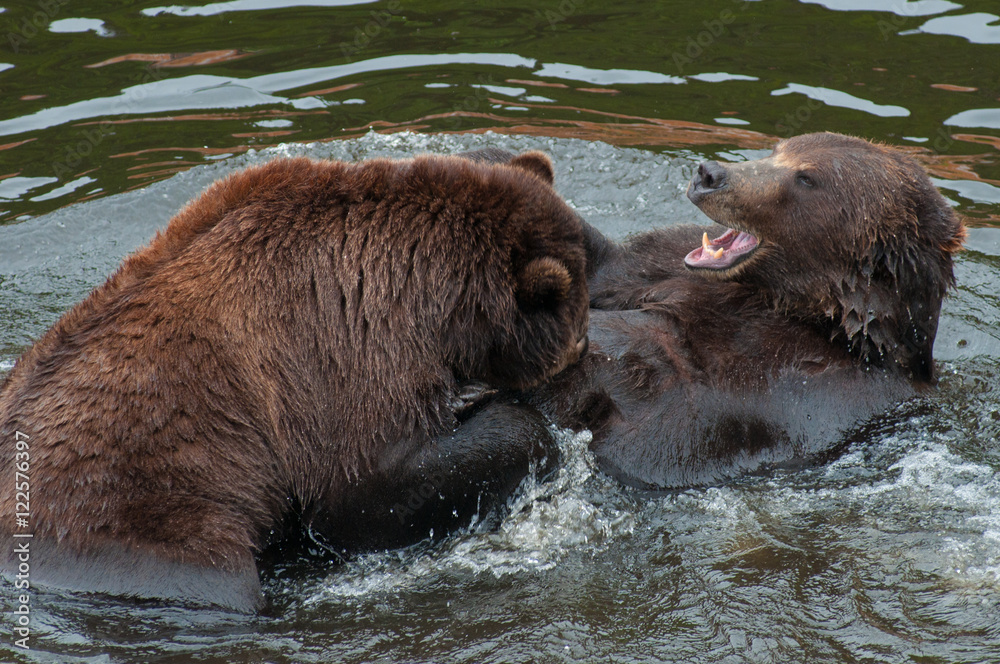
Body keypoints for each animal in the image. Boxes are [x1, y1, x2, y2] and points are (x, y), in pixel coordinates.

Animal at [0, 151, 590, 612]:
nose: (585, 348)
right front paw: (491, 408)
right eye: (580, 331)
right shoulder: (342, 339)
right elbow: (365, 484)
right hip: (138, 519)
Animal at [510, 132, 965, 489]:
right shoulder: (665, 264)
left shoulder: (799, 386)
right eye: (779, 149)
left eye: (806, 177)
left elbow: (661, 399)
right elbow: (605, 268)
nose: (709, 173)